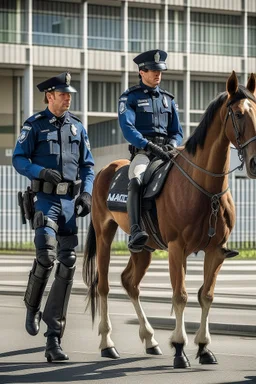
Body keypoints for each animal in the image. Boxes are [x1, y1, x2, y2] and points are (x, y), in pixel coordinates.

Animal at [82, 70, 256, 368]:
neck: (205, 188)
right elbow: (180, 296)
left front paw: (204, 347)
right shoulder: (177, 249)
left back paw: (150, 339)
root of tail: (107, 168)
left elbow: (206, 295)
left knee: (130, 282)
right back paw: (107, 344)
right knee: (103, 286)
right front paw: (179, 348)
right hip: (105, 235)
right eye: (239, 114)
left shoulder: (215, 251)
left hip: (143, 248)